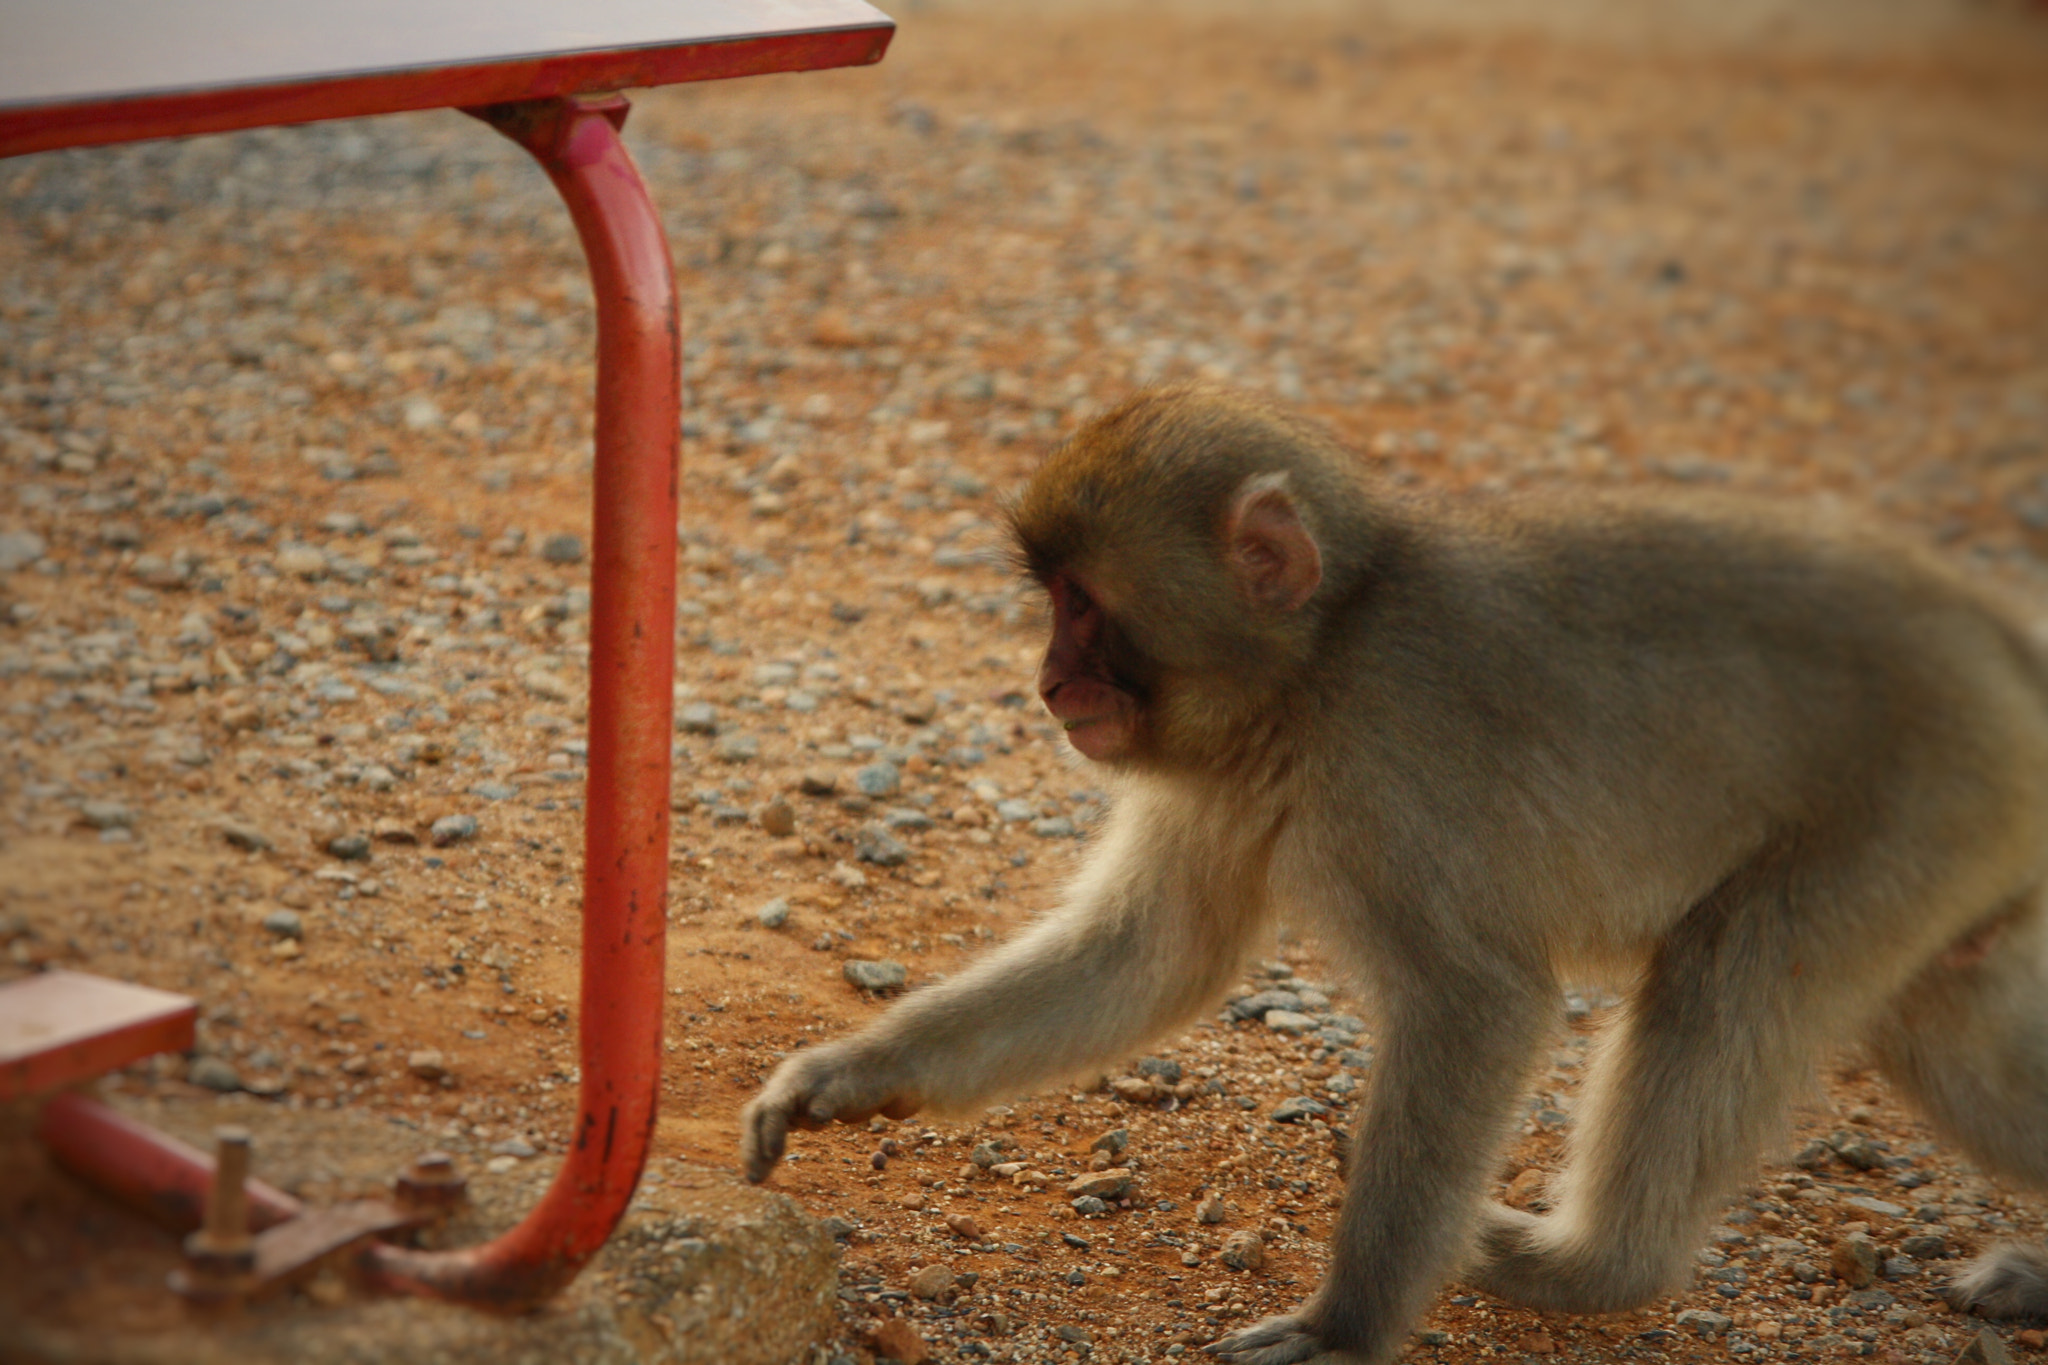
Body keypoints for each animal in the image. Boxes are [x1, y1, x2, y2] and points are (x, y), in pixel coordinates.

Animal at [745, 386, 2048, 1365]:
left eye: (1080, 605)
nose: (1049, 682)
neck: (1316, 660)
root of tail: (1981, 626)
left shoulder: (1385, 767)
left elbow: (1478, 1003)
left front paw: (1344, 1328)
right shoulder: (1226, 776)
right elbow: (1145, 960)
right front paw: (851, 1073)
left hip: (1910, 805)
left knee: (1726, 978)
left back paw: (1589, 1269)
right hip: (1957, 841)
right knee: (1934, 1034)